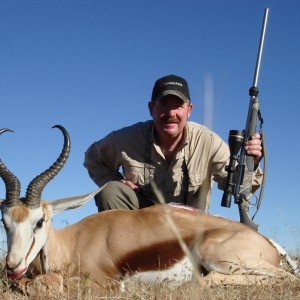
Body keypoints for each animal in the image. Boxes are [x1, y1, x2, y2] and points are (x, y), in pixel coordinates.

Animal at [0, 125, 296, 288]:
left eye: (39, 221)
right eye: (4, 222)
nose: (12, 266)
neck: (72, 243)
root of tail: (269, 244)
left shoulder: (108, 282)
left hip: (217, 257)